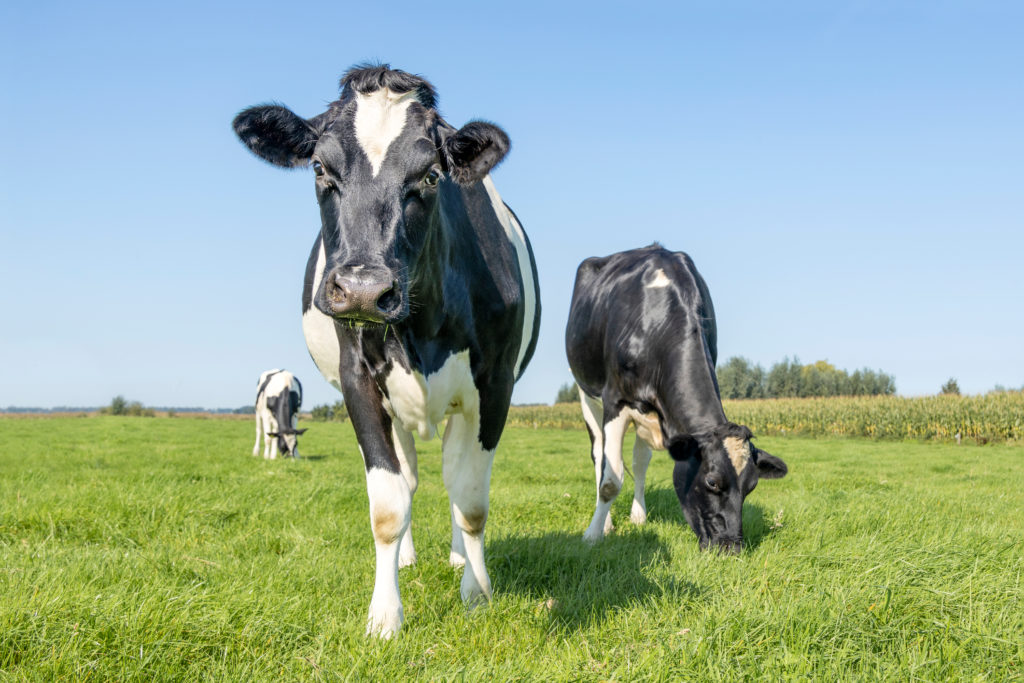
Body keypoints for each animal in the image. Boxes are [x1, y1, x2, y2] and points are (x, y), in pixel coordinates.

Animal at [230, 66, 536, 638]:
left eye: (432, 176)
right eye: (320, 167)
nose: (364, 290)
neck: (423, 330)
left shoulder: (494, 385)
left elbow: (471, 501)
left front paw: (476, 594)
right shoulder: (358, 383)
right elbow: (390, 506)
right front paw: (385, 617)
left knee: (451, 476)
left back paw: (458, 557)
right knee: (412, 477)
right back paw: (412, 558)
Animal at [565, 245, 786, 557]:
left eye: (751, 486)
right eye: (712, 482)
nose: (732, 548)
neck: (657, 324)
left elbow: (636, 465)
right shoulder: (615, 401)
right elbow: (610, 480)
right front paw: (593, 535)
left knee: (640, 461)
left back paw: (638, 516)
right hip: (587, 394)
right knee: (600, 457)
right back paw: (605, 522)